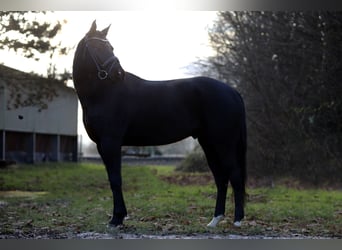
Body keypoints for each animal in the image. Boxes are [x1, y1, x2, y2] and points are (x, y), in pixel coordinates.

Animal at [73, 21, 247, 229]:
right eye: (98, 47)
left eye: (110, 47)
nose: (119, 74)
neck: (103, 93)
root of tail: (233, 92)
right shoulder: (102, 145)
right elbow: (112, 179)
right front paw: (119, 217)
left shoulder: (111, 142)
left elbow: (116, 180)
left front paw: (116, 219)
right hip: (209, 144)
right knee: (221, 178)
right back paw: (214, 220)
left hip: (223, 143)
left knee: (234, 175)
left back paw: (237, 221)